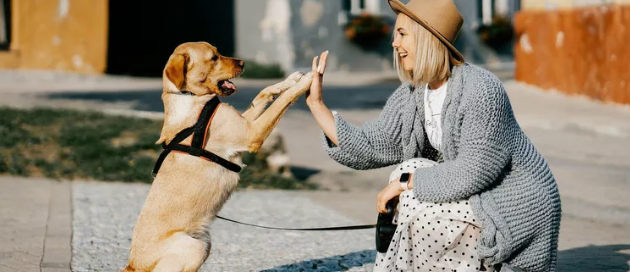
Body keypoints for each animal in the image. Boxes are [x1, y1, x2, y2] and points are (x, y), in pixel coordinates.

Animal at [121, 41, 314, 270]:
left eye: (218, 51)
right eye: (214, 58)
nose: (243, 62)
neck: (190, 97)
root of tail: (133, 264)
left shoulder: (245, 123)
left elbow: (263, 93)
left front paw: (291, 79)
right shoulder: (252, 133)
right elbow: (282, 101)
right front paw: (308, 80)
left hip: (205, 242)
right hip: (195, 247)